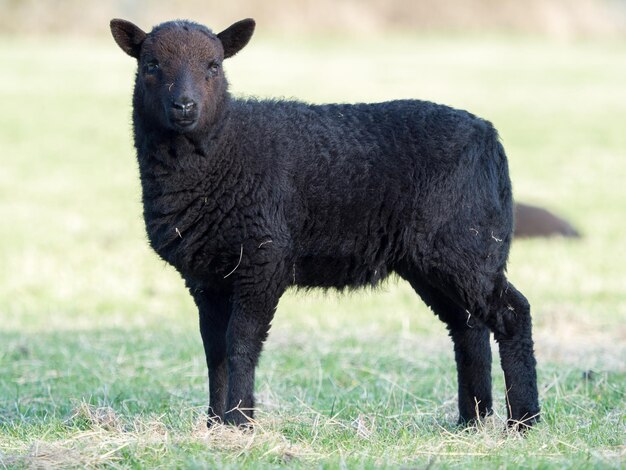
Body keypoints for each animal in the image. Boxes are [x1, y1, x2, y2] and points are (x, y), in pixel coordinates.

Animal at [111, 17, 536, 430]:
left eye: (214, 66)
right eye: (151, 65)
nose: (184, 107)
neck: (221, 154)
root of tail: (489, 135)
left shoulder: (264, 260)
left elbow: (242, 343)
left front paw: (239, 421)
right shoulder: (206, 276)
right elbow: (214, 350)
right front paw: (215, 423)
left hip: (466, 243)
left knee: (512, 314)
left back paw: (523, 421)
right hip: (435, 260)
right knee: (468, 329)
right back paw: (472, 421)